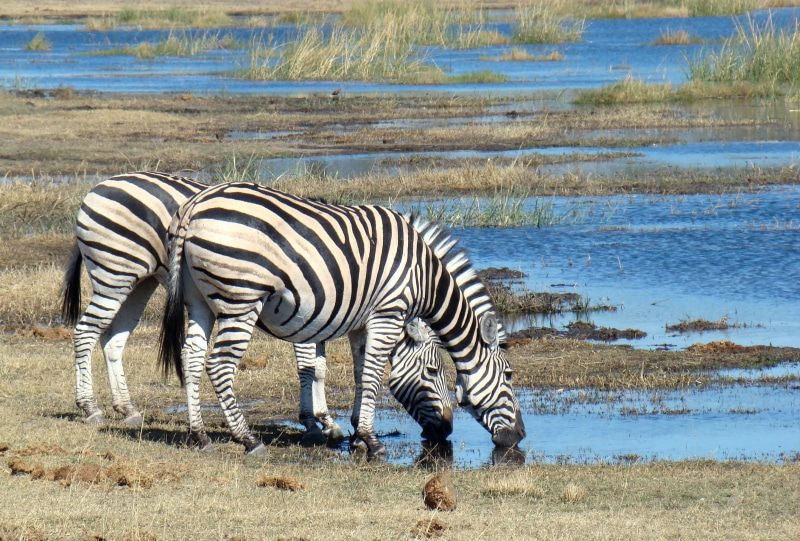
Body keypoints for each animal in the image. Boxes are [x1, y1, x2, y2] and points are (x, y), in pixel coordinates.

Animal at [60, 171, 452, 447]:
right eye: (433, 370)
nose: (447, 429)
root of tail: (102, 184)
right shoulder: (310, 310)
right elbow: (312, 368)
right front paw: (316, 423)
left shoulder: (326, 312)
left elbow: (320, 366)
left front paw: (327, 422)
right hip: (115, 271)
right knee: (86, 331)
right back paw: (91, 408)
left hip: (139, 281)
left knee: (113, 338)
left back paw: (127, 410)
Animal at [159, 181, 526, 457]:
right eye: (508, 375)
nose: (520, 436)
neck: (425, 277)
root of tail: (195, 205)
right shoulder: (387, 313)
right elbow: (373, 375)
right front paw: (370, 440)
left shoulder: (362, 322)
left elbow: (361, 374)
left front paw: (356, 434)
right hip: (241, 298)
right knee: (219, 365)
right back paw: (248, 439)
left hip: (198, 299)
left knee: (191, 358)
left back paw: (200, 434)